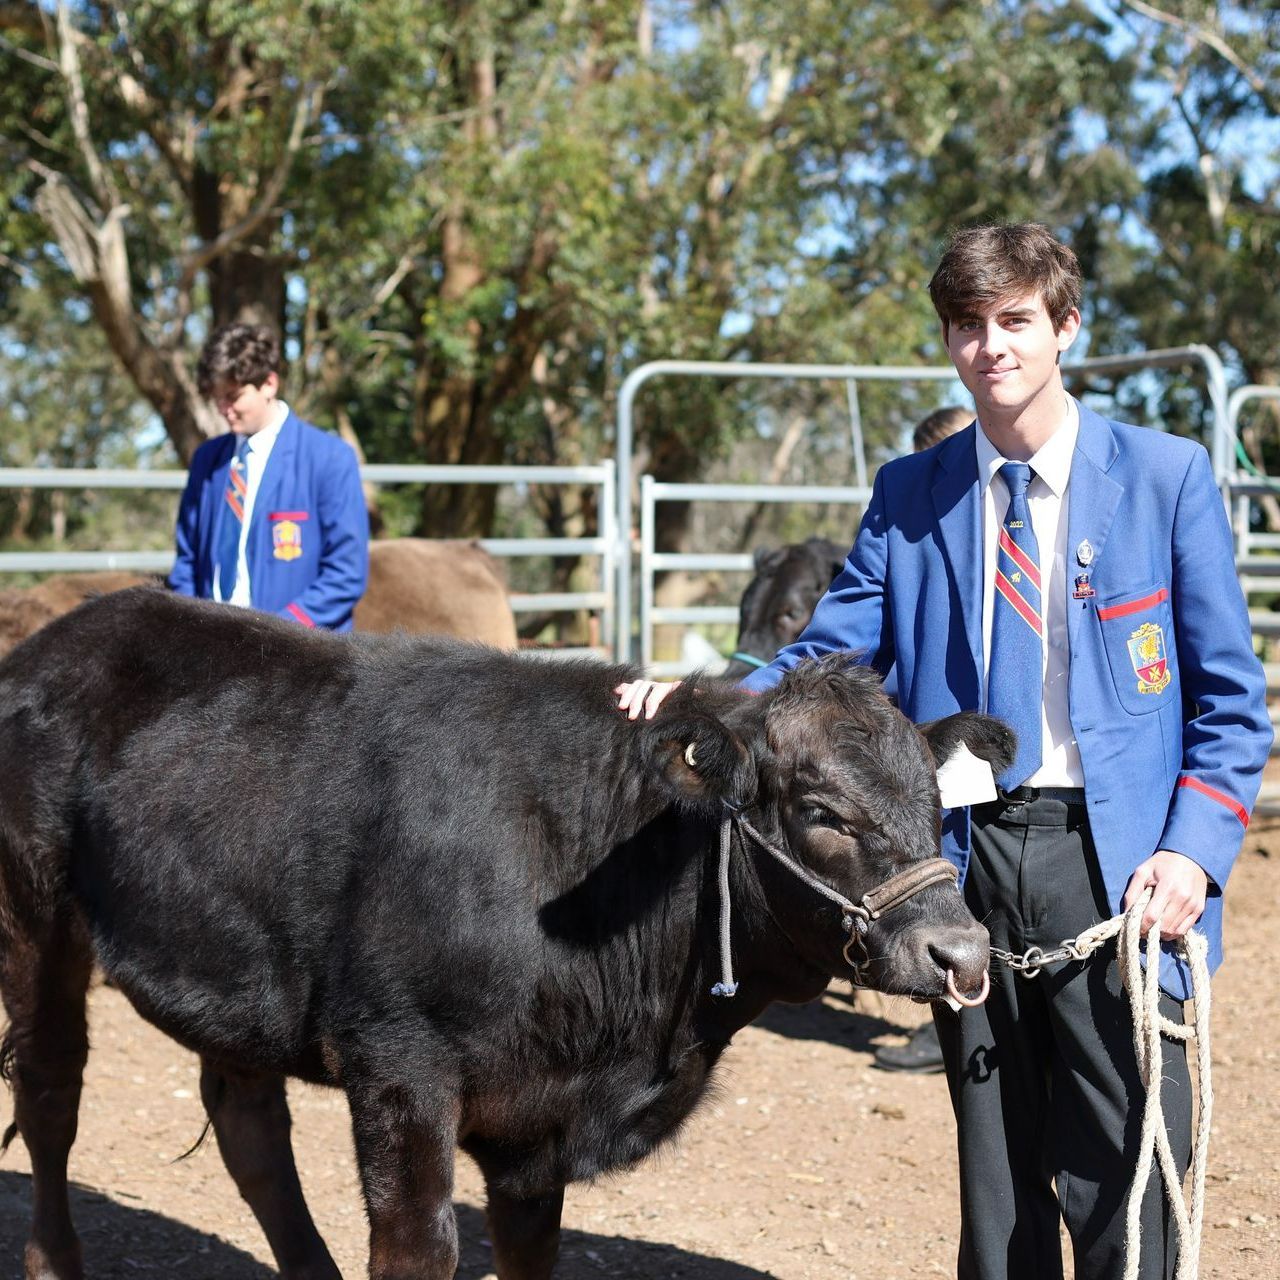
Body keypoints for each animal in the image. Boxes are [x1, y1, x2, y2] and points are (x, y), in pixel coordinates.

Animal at [0, 588, 1008, 1280]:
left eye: (935, 805)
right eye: (820, 812)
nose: (961, 954)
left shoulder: (535, 1129)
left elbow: (529, 1251)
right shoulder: (399, 1066)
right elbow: (418, 1248)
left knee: (248, 1128)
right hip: (36, 928)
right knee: (51, 1098)